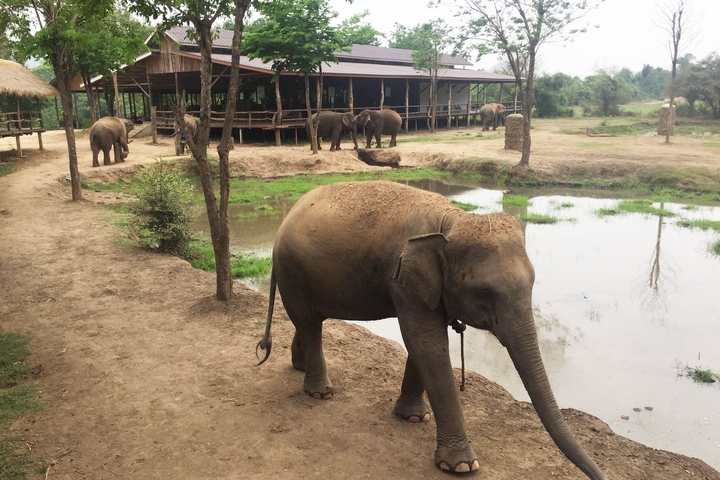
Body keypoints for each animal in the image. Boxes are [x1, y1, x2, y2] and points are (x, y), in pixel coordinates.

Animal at [256, 181, 605, 479]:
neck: (452, 220)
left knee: (309, 322)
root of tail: (286, 219)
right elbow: (428, 344)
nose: (599, 476)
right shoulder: (404, 280)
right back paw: (320, 393)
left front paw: (413, 417)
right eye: (484, 293)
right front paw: (462, 466)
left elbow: (422, 345)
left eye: (532, 283)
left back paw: (300, 367)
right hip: (292, 269)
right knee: (310, 322)